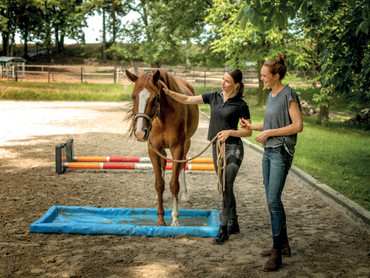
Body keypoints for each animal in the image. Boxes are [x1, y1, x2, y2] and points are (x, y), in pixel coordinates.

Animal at [124, 69, 199, 226]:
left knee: (183, 165)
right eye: (133, 97)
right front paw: (160, 218)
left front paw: (175, 219)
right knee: (164, 165)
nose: (140, 132)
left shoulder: (178, 148)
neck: (163, 116)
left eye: (154, 98)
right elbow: (159, 183)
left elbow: (174, 184)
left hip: (186, 144)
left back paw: (185, 196)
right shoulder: (153, 149)